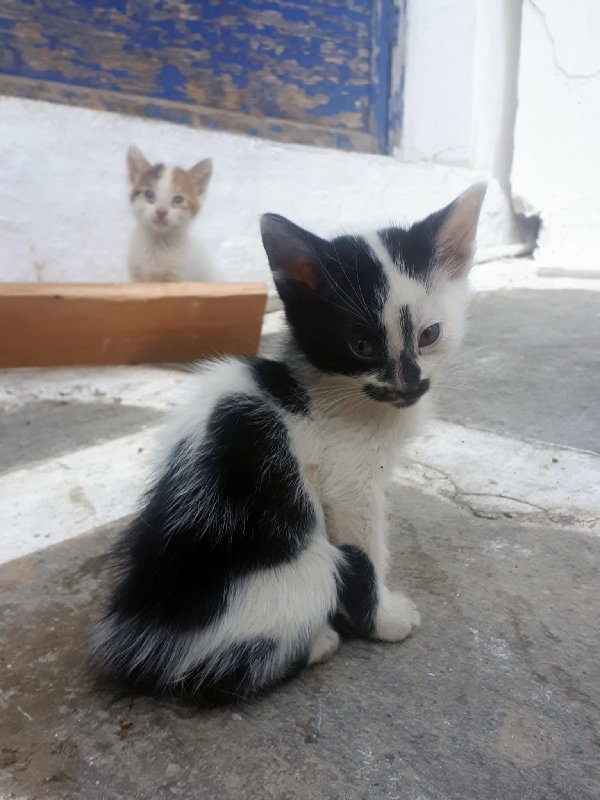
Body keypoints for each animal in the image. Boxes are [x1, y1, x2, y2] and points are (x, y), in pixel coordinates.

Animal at [95, 184, 488, 696]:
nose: (409, 385)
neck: (333, 394)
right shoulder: (348, 484)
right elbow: (365, 554)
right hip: (306, 564)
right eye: (361, 345)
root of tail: (146, 625)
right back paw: (316, 643)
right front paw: (384, 621)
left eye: (430, 335)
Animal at [125, 145, 214, 282]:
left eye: (178, 199)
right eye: (149, 194)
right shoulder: (136, 275)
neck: (157, 244)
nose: (161, 212)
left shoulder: (177, 275)